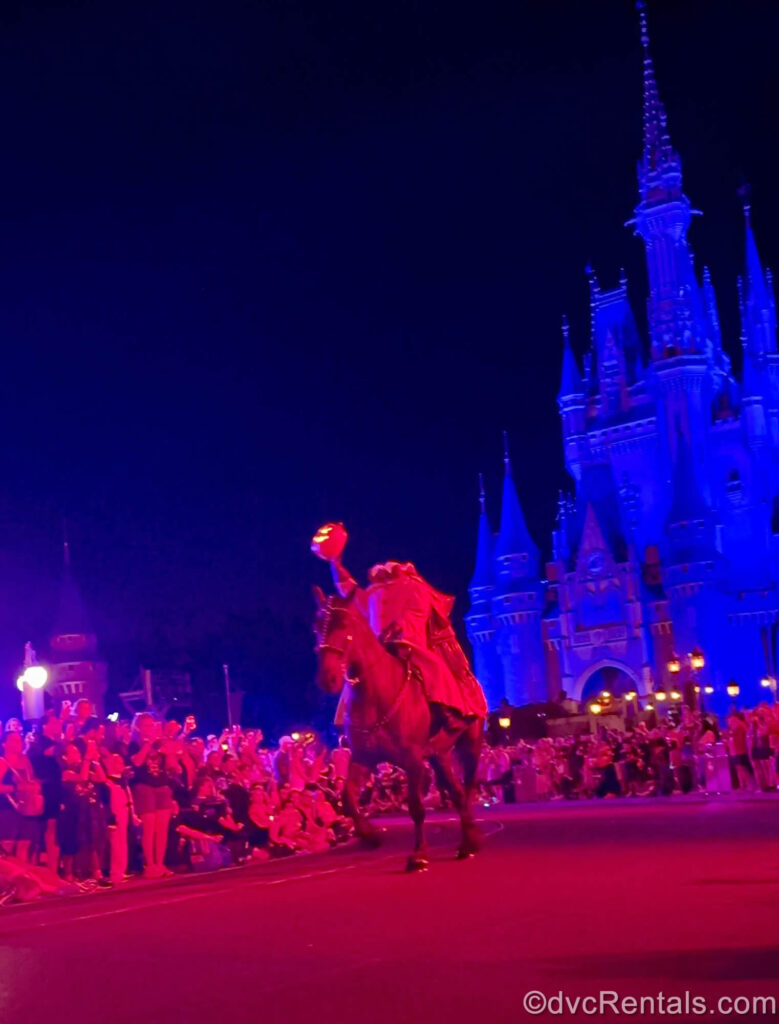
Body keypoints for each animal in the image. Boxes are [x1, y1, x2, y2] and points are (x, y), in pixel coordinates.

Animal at [313, 589, 483, 868]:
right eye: (317, 627)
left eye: (344, 626)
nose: (327, 679)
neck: (377, 695)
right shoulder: (363, 758)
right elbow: (348, 798)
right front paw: (370, 836)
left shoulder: (413, 760)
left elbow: (416, 807)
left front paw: (419, 854)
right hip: (438, 755)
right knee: (457, 793)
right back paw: (467, 841)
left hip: (470, 746)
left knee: (467, 789)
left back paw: (471, 840)